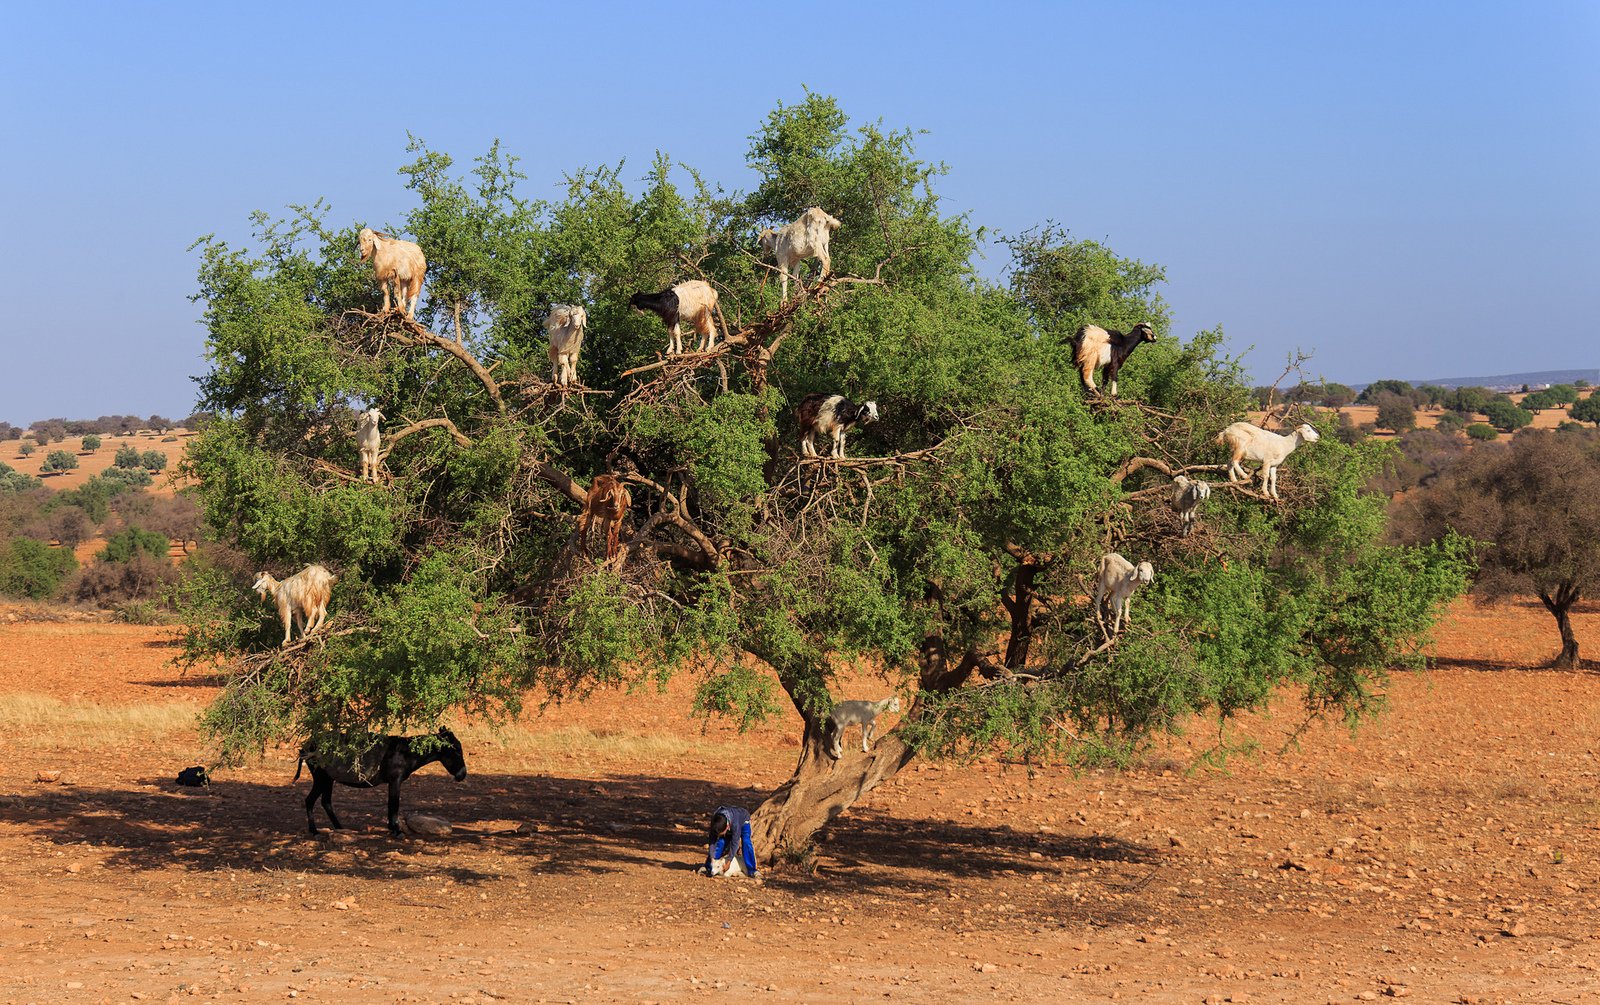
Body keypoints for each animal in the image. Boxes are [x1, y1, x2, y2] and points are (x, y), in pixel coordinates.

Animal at [296, 726, 467, 838]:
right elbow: (394, 804)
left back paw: (339, 828)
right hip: (321, 778)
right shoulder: (395, 781)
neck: (407, 753)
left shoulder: (393, 782)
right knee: (310, 800)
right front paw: (396, 831)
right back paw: (314, 831)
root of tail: (307, 745)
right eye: (457, 750)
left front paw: (392, 829)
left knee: (325, 802)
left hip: (328, 779)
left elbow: (391, 805)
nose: (463, 775)